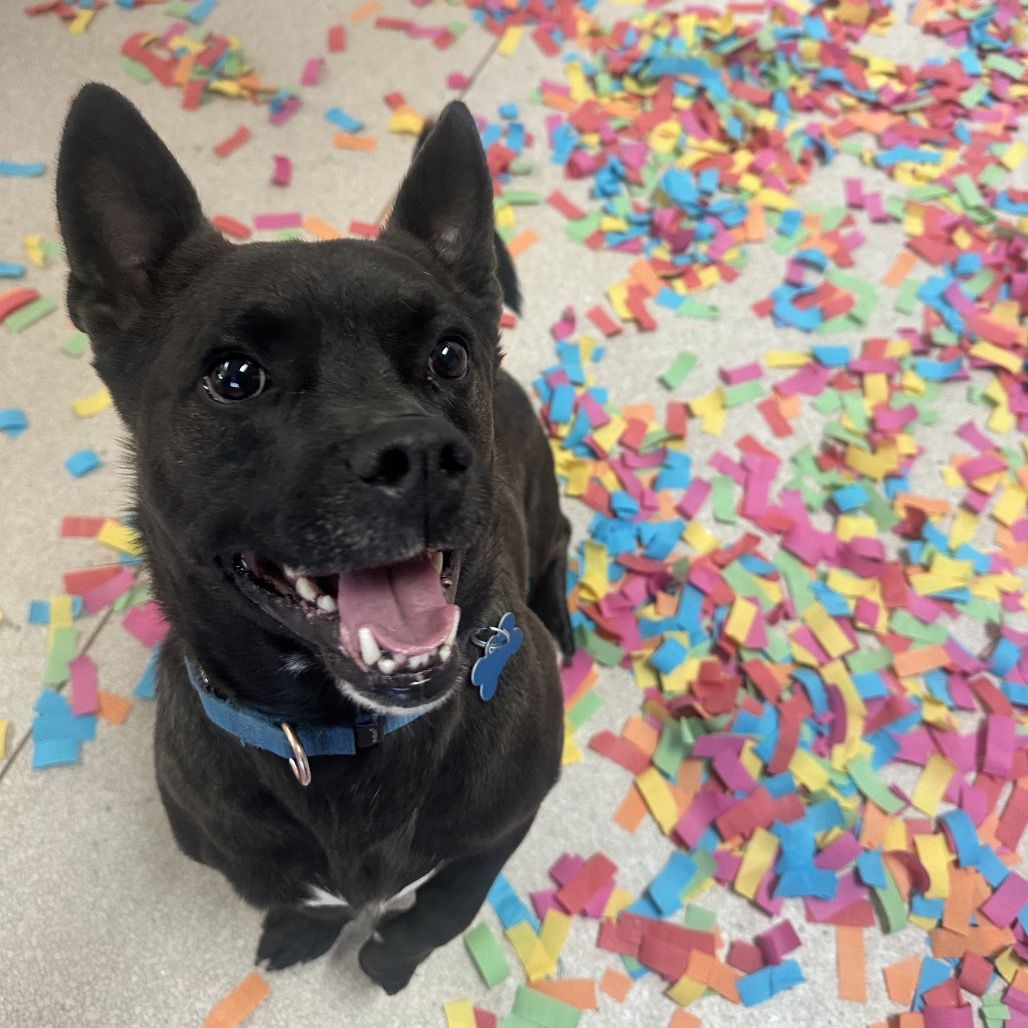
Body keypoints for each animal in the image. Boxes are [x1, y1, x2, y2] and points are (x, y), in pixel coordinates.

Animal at [56, 84, 574, 995]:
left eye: (449, 354)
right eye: (234, 375)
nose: (421, 456)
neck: (340, 733)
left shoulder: (509, 817)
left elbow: (449, 902)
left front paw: (392, 954)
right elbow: (295, 897)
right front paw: (305, 929)